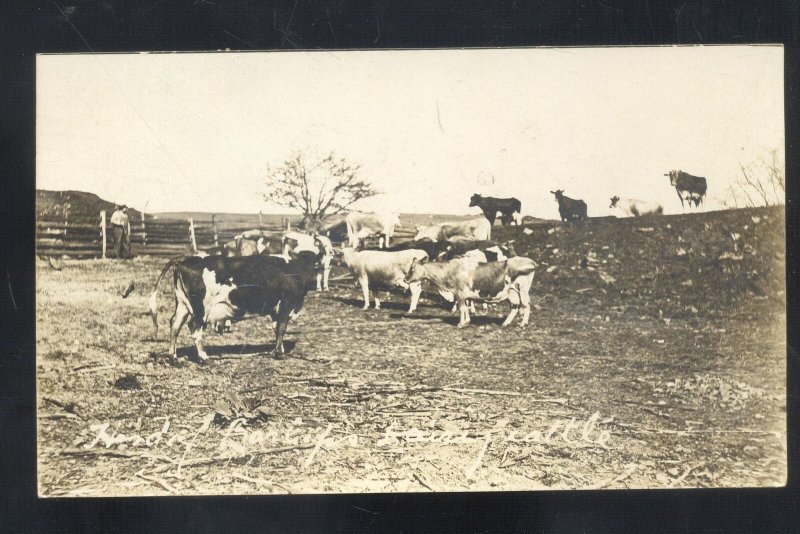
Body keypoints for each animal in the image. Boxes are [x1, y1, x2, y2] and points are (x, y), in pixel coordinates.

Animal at [406, 255, 536, 326]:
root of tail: (530, 261)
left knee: (526, 305)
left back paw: (523, 323)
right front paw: (467, 321)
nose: (405, 279)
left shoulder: (459, 293)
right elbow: (465, 308)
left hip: (522, 290)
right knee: (515, 307)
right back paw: (505, 323)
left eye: (412, 268)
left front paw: (461, 323)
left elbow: (462, 308)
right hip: (512, 292)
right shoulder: (462, 295)